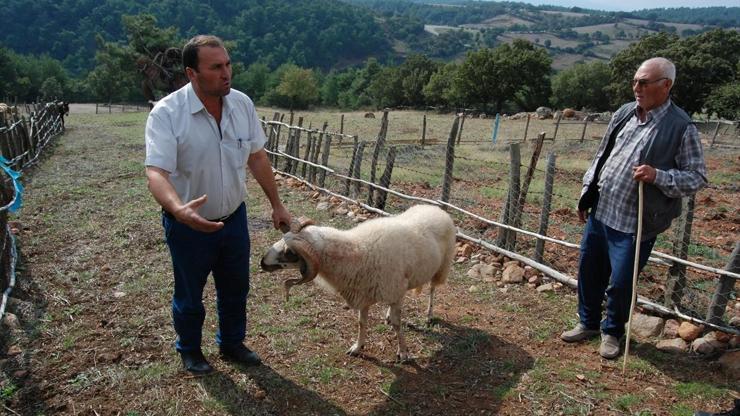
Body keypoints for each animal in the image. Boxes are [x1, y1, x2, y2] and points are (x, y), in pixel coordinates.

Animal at [260, 205, 456, 360]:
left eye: (289, 253)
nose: (262, 262)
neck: (357, 252)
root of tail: (434, 207)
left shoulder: (390, 290)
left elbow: (397, 324)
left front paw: (403, 352)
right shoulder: (365, 294)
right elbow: (362, 323)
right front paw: (357, 347)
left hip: (441, 267)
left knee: (432, 290)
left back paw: (429, 315)